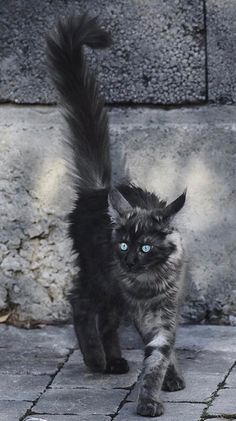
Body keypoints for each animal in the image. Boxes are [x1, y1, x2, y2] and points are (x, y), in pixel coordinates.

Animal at [46, 13, 186, 416]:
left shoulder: (166, 308)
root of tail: (97, 191)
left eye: (145, 247)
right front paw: (152, 396)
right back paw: (95, 359)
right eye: (124, 245)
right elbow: (153, 353)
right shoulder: (138, 306)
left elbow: (162, 350)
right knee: (80, 303)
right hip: (100, 276)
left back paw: (115, 361)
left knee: (107, 321)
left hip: (110, 288)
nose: (130, 262)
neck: (150, 280)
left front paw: (166, 381)